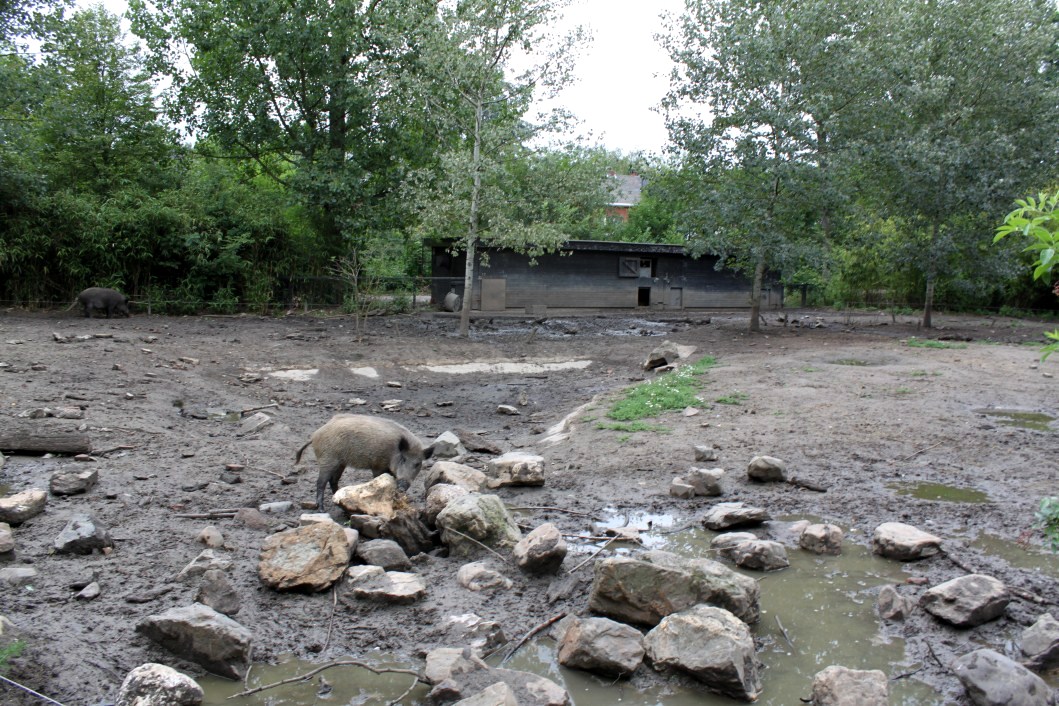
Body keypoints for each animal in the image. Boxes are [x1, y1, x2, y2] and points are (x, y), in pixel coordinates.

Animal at [295, 414, 436, 510]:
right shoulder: (377, 465)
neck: (393, 452)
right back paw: (321, 508)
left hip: (341, 463)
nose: (403, 486)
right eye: (403, 459)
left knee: (333, 480)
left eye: (417, 464)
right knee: (320, 482)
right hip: (327, 460)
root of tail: (314, 435)